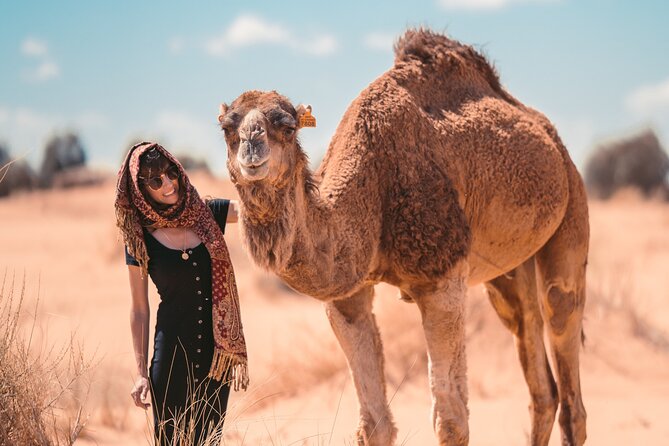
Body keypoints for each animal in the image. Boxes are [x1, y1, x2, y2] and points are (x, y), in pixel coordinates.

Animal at [217, 29, 588, 446]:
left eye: (287, 124)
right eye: (227, 127)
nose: (252, 145)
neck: (371, 187)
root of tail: (550, 137)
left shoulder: (442, 278)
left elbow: (451, 420)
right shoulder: (347, 298)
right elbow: (373, 424)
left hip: (572, 208)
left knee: (562, 321)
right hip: (508, 274)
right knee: (538, 374)